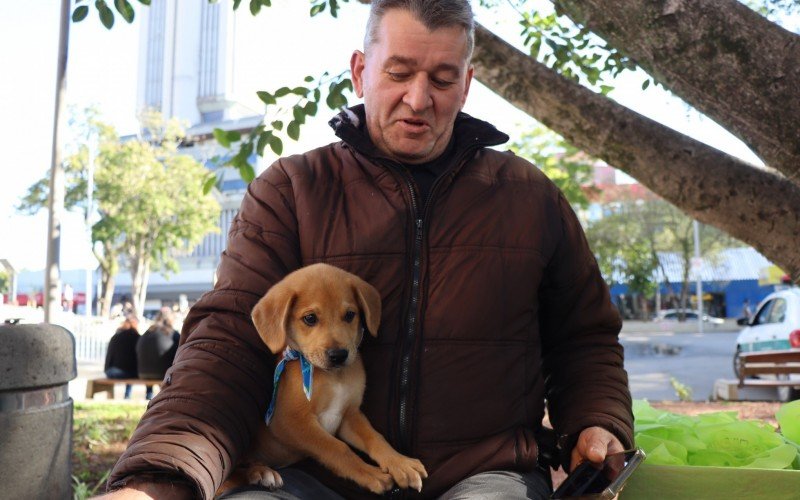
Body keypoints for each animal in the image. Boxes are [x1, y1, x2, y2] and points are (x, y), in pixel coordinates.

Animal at [220, 266, 424, 496]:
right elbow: (338, 448)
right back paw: (261, 473)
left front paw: (400, 463)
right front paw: (371, 474)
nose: (338, 355)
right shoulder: (290, 421)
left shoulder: (349, 415)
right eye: (310, 318)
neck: (332, 377)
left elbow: (375, 438)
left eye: (350, 315)